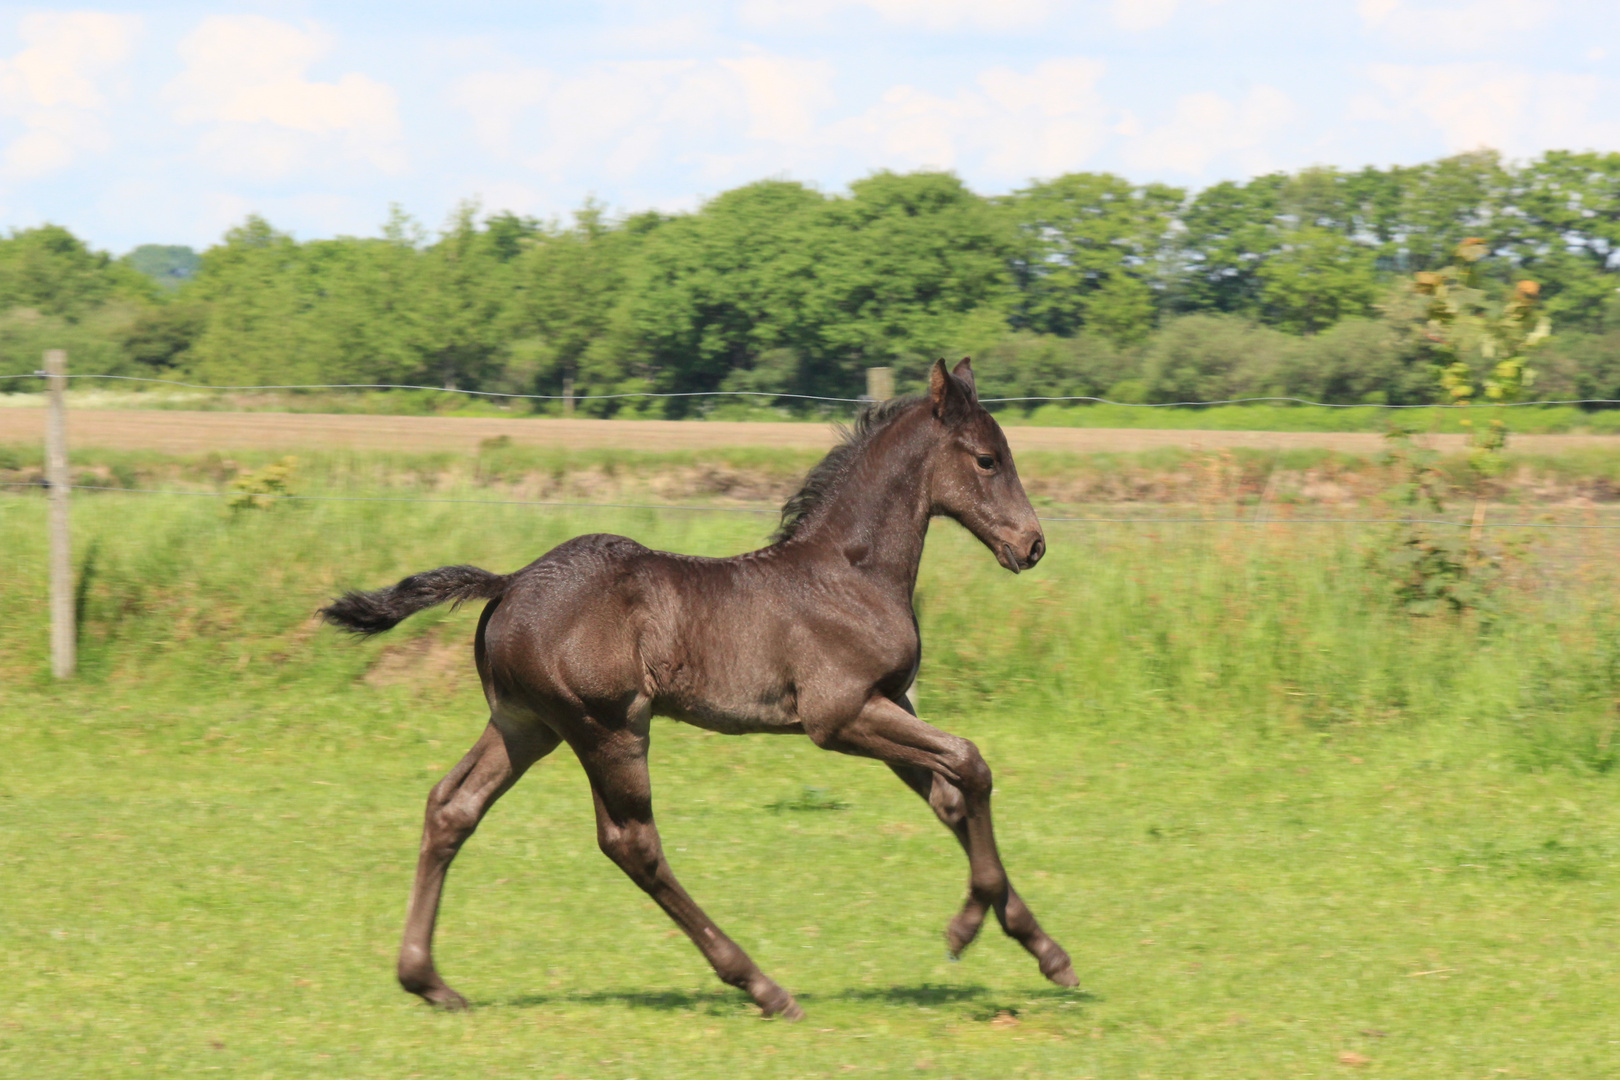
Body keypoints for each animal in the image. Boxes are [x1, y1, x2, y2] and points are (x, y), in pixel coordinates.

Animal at [319, 356, 1075, 1023]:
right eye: (987, 460)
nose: (1032, 545)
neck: (850, 573)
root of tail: (509, 583)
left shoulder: (890, 706)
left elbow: (951, 795)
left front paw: (1047, 951)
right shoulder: (840, 717)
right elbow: (971, 763)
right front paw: (966, 925)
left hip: (524, 725)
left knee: (452, 806)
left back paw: (427, 981)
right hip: (608, 727)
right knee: (631, 842)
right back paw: (763, 987)